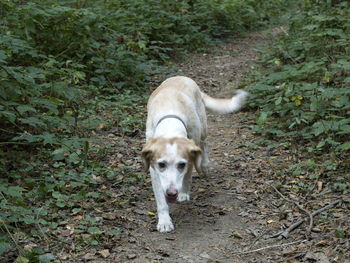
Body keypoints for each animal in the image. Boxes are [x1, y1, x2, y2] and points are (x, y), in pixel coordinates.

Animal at [141, 76, 247, 233]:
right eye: (161, 164)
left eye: (181, 165)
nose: (172, 193)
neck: (170, 123)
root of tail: (182, 77)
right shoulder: (154, 169)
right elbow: (160, 200)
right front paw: (165, 221)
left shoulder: (191, 156)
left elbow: (187, 177)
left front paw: (184, 193)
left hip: (203, 127)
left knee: (204, 144)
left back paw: (206, 165)